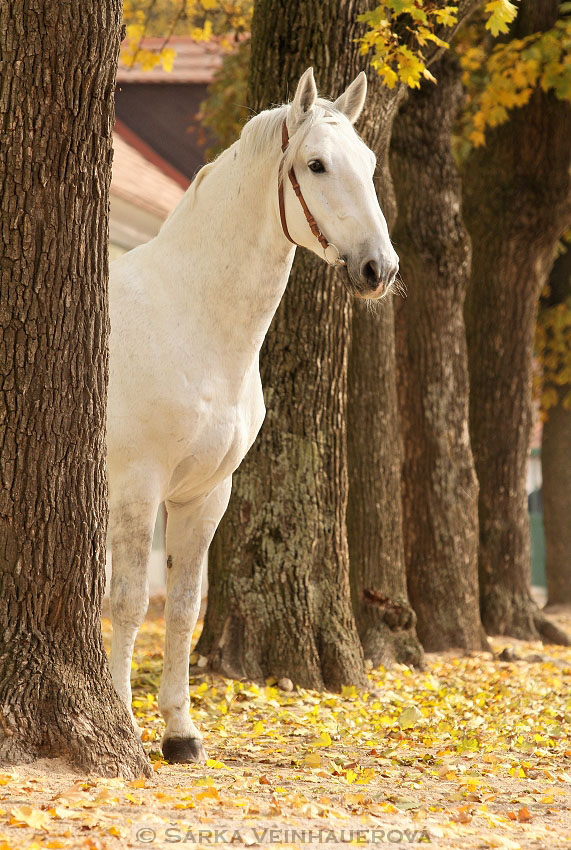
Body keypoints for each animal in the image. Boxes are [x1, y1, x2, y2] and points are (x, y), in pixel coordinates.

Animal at [109, 68, 400, 760]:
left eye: (371, 164)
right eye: (316, 164)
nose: (379, 268)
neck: (187, 315)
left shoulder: (204, 495)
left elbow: (184, 606)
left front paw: (180, 733)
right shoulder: (138, 487)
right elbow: (130, 602)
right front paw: (124, 724)